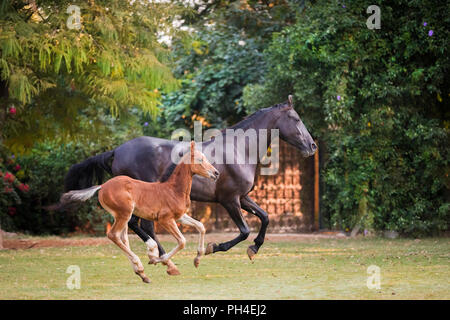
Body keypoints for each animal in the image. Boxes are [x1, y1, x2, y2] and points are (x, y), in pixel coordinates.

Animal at [58, 142, 220, 282]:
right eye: (200, 160)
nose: (216, 173)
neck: (173, 190)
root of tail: (102, 186)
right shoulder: (165, 219)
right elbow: (182, 241)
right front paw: (159, 260)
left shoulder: (180, 217)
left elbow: (201, 226)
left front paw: (197, 259)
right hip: (124, 213)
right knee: (114, 235)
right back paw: (144, 265)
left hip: (121, 216)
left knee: (123, 238)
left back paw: (141, 273)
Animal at [64, 95, 316, 272]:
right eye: (296, 119)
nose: (312, 146)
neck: (239, 150)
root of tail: (116, 151)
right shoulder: (229, 200)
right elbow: (244, 230)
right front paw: (215, 248)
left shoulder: (243, 197)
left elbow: (265, 217)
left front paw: (254, 249)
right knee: (142, 226)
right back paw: (161, 257)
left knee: (137, 226)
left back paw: (159, 256)